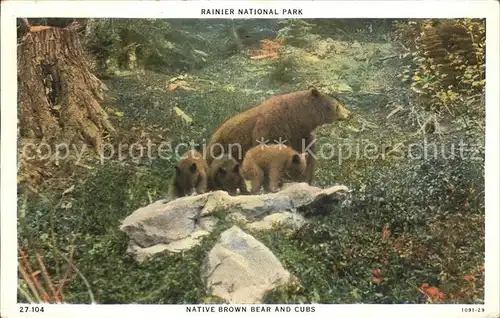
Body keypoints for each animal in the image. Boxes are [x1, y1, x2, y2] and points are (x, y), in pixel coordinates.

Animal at [203, 89, 352, 184]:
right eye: (337, 105)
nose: (349, 113)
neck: (296, 118)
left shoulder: (300, 135)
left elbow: (307, 156)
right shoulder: (271, 128)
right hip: (222, 151)